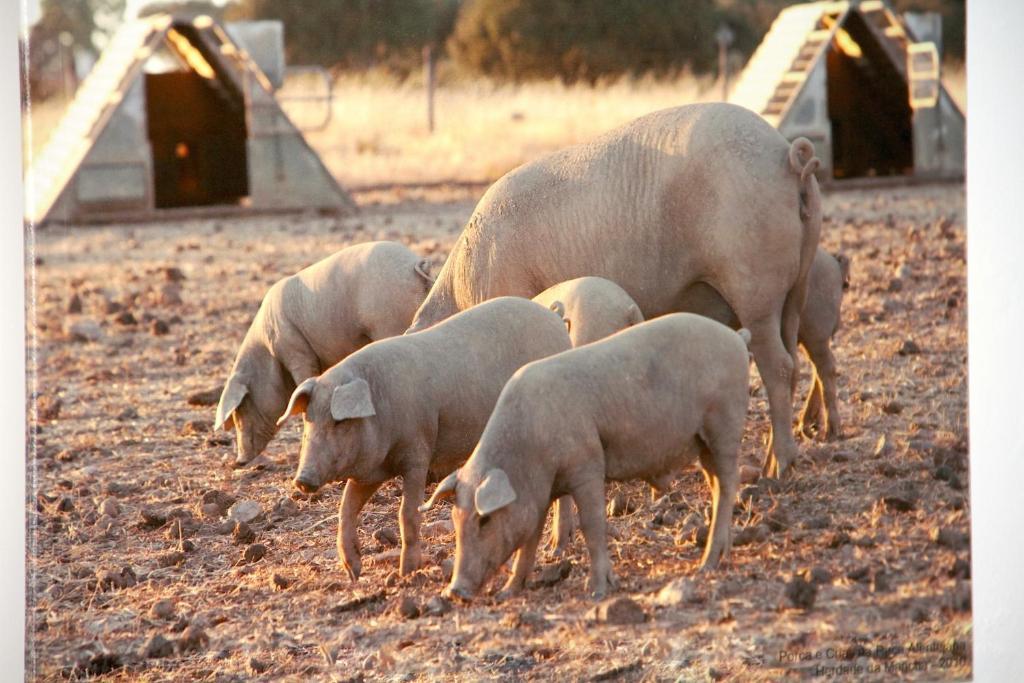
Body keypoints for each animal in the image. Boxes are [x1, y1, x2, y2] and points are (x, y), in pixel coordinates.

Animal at [216, 241, 432, 471]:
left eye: (240, 410)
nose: (239, 461)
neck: (268, 347)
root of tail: (416, 264)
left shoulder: (295, 349)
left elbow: (304, 380)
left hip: (387, 320)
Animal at [276, 296, 573, 577]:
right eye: (309, 420)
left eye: (339, 422)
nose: (302, 480)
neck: (382, 404)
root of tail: (554, 317)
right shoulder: (372, 471)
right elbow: (346, 509)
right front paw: (353, 572)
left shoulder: (418, 452)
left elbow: (407, 513)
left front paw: (407, 572)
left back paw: (556, 549)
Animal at [407, 101, 823, 479]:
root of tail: (785, 155)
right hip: (796, 286)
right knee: (794, 357)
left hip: (753, 281)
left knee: (780, 366)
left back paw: (778, 468)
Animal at [421, 313, 753, 598]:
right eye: (456, 517)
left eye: (484, 519)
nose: (456, 591)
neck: (529, 447)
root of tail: (736, 338)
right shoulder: (540, 493)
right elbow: (529, 540)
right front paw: (508, 592)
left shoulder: (586, 465)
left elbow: (592, 525)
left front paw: (598, 591)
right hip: (702, 442)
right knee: (715, 484)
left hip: (724, 423)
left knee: (728, 483)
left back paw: (707, 564)